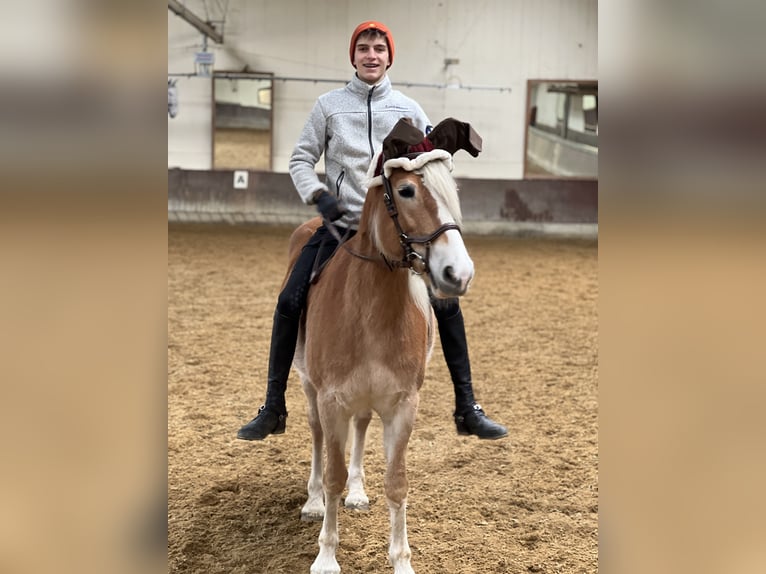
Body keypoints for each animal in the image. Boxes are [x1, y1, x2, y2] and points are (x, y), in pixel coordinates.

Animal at [286, 119, 480, 572]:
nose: (459, 273)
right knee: (317, 436)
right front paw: (326, 556)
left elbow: (397, 483)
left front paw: (401, 560)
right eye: (406, 190)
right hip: (309, 389)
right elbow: (334, 474)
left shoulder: (402, 404)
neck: (371, 312)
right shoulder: (332, 399)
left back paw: (357, 492)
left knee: (360, 428)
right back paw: (313, 501)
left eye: (451, 189)